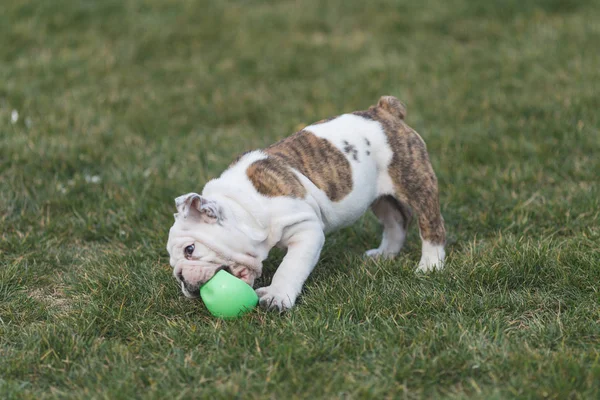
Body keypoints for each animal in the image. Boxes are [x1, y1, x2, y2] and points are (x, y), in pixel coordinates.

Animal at [165, 96, 446, 312]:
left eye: (190, 249)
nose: (181, 279)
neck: (243, 207)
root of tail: (384, 110)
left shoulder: (306, 230)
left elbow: (290, 267)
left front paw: (277, 297)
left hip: (414, 179)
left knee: (431, 224)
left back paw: (430, 265)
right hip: (380, 198)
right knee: (396, 221)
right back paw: (384, 255)